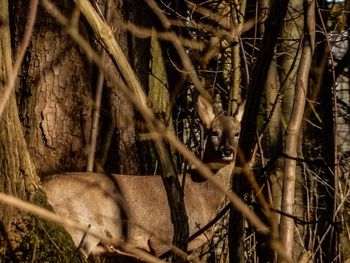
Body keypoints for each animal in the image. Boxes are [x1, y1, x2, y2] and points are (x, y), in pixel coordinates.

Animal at [43, 95, 243, 260]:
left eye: (237, 133)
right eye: (214, 132)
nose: (227, 151)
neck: (203, 196)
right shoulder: (161, 238)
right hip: (80, 228)